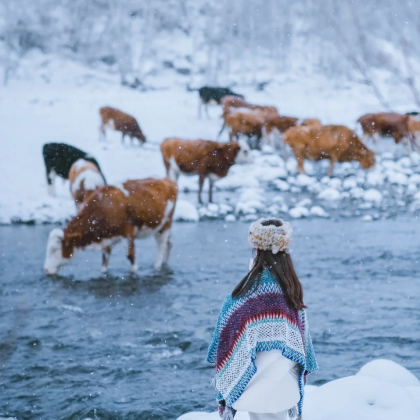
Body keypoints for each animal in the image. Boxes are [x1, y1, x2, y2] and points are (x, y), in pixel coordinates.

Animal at [43, 177, 178, 276]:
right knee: (169, 244)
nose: (46, 269)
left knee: (161, 246)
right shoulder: (106, 239)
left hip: (165, 225)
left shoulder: (127, 233)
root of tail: (167, 180)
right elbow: (104, 263)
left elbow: (131, 258)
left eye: (54, 249)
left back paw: (157, 266)